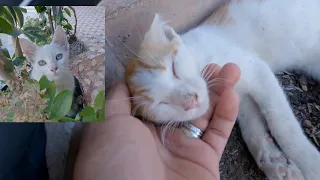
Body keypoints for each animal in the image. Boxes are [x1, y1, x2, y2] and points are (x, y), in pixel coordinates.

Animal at [126, 0, 320, 180]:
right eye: (161, 103)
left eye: (174, 68)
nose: (191, 100)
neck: (201, 60)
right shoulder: (239, 94)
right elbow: (251, 126)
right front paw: (273, 161)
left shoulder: (256, 69)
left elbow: (282, 124)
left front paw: (310, 165)